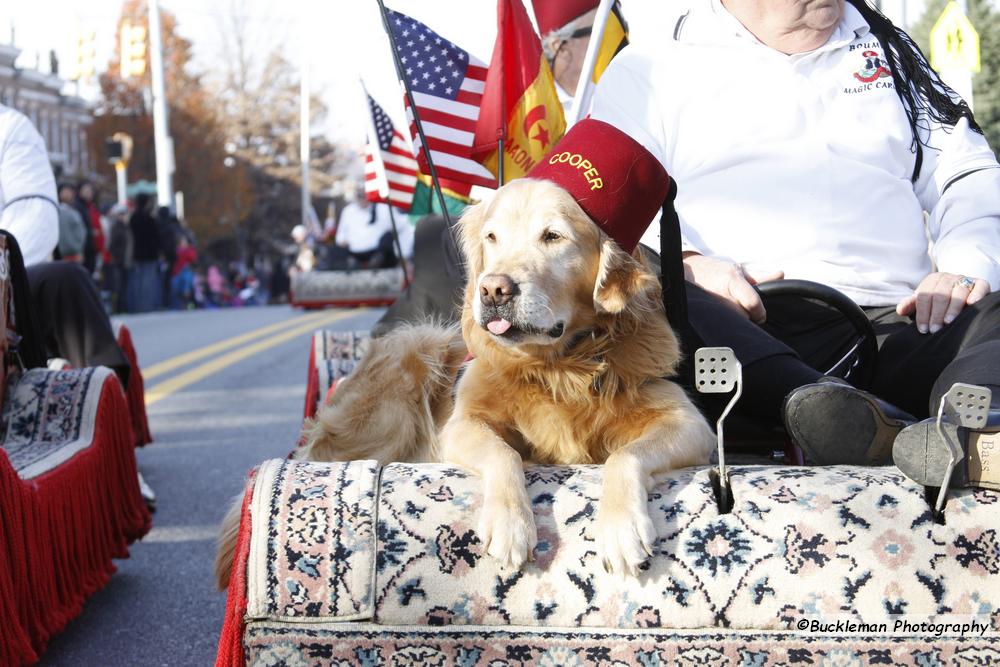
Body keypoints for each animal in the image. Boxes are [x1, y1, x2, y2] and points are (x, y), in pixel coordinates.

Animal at [215, 177, 716, 588]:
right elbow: (504, 454)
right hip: (412, 358)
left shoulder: (688, 423)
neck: (559, 368)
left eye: (553, 236)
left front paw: (620, 528)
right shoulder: (460, 425)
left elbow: (624, 456)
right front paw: (512, 525)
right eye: (492, 238)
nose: (493, 290)